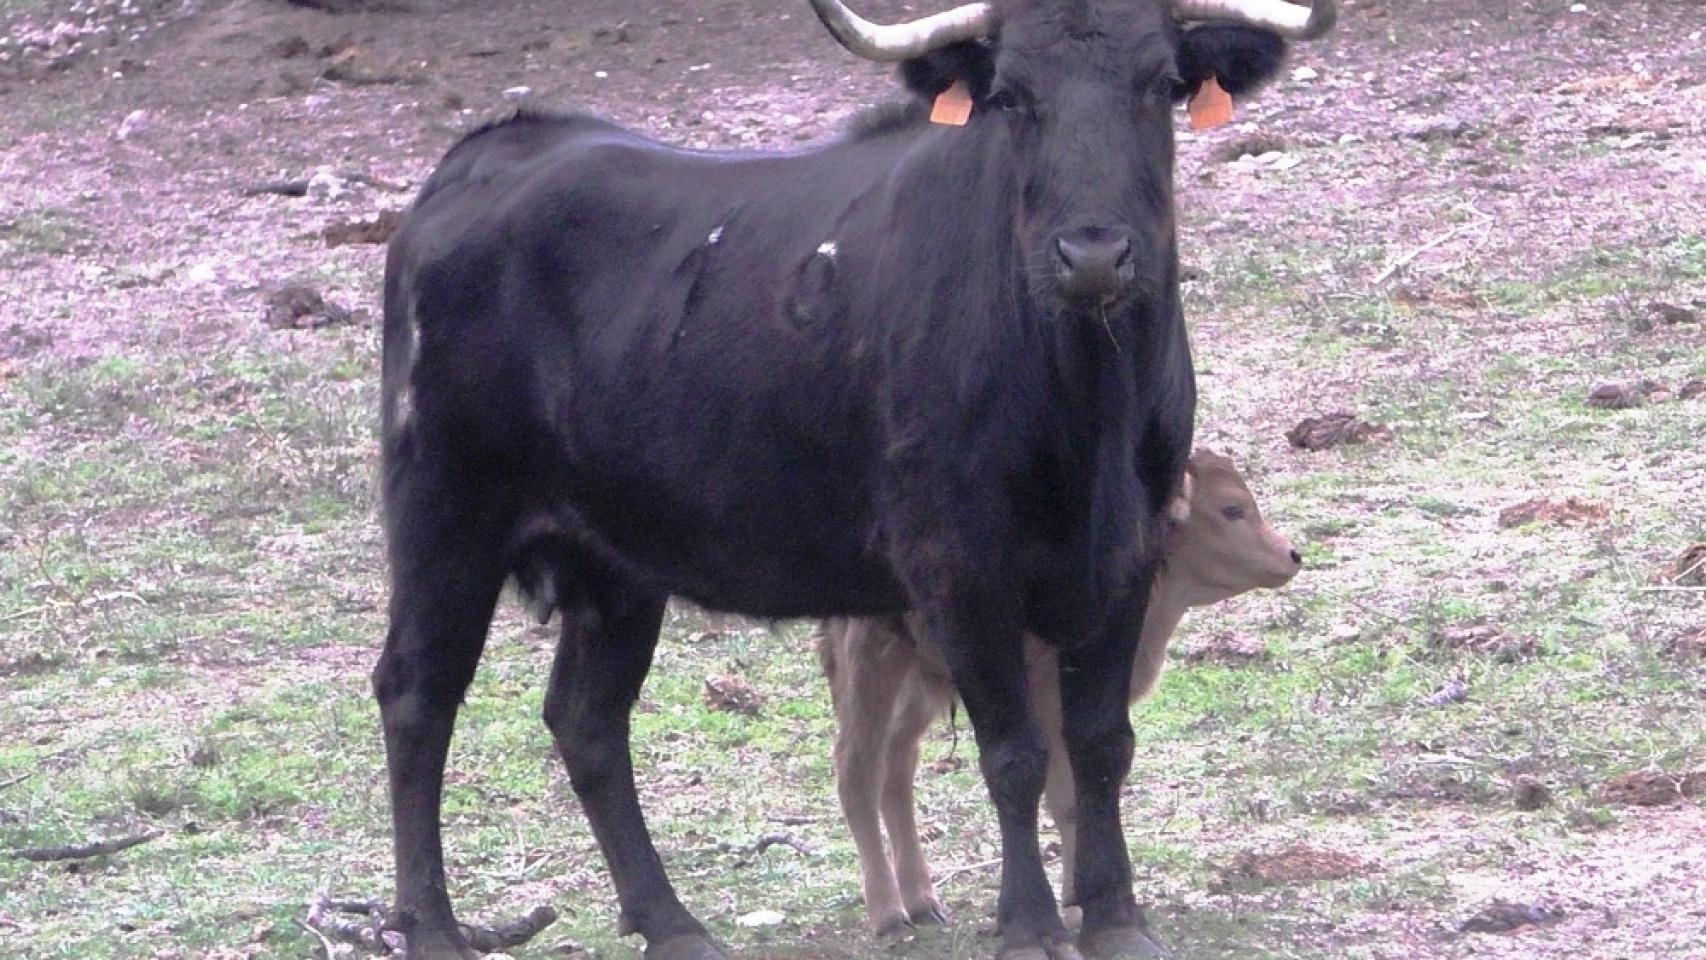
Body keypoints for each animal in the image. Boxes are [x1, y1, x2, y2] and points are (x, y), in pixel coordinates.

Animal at [818, 453, 1296, 941]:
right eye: (1232, 509)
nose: (1291, 555)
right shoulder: (1051, 709)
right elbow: (1066, 802)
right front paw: (1075, 910)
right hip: (871, 665)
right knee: (857, 769)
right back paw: (888, 915)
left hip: (920, 680)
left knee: (897, 765)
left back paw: (922, 903)